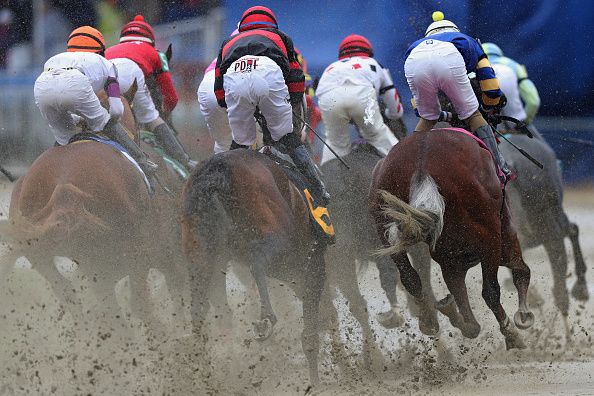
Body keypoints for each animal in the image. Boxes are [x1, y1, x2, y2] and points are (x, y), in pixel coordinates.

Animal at [180, 148, 326, 384]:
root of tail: (215, 173)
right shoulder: (311, 265)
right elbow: (310, 333)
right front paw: (315, 381)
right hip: (280, 243)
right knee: (257, 261)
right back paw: (266, 317)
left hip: (201, 256)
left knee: (199, 307)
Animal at [370, 128, 532, 348]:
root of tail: (422, 166)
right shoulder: (503, 235)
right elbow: (520, 271)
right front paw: (523, 317)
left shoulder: (451, 260)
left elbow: (463, 304)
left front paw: (450, 310)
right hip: (489, 236)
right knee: (490, 291)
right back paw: (512, 334)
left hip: (384, 226)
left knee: (411, 278)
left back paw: (430, 319)